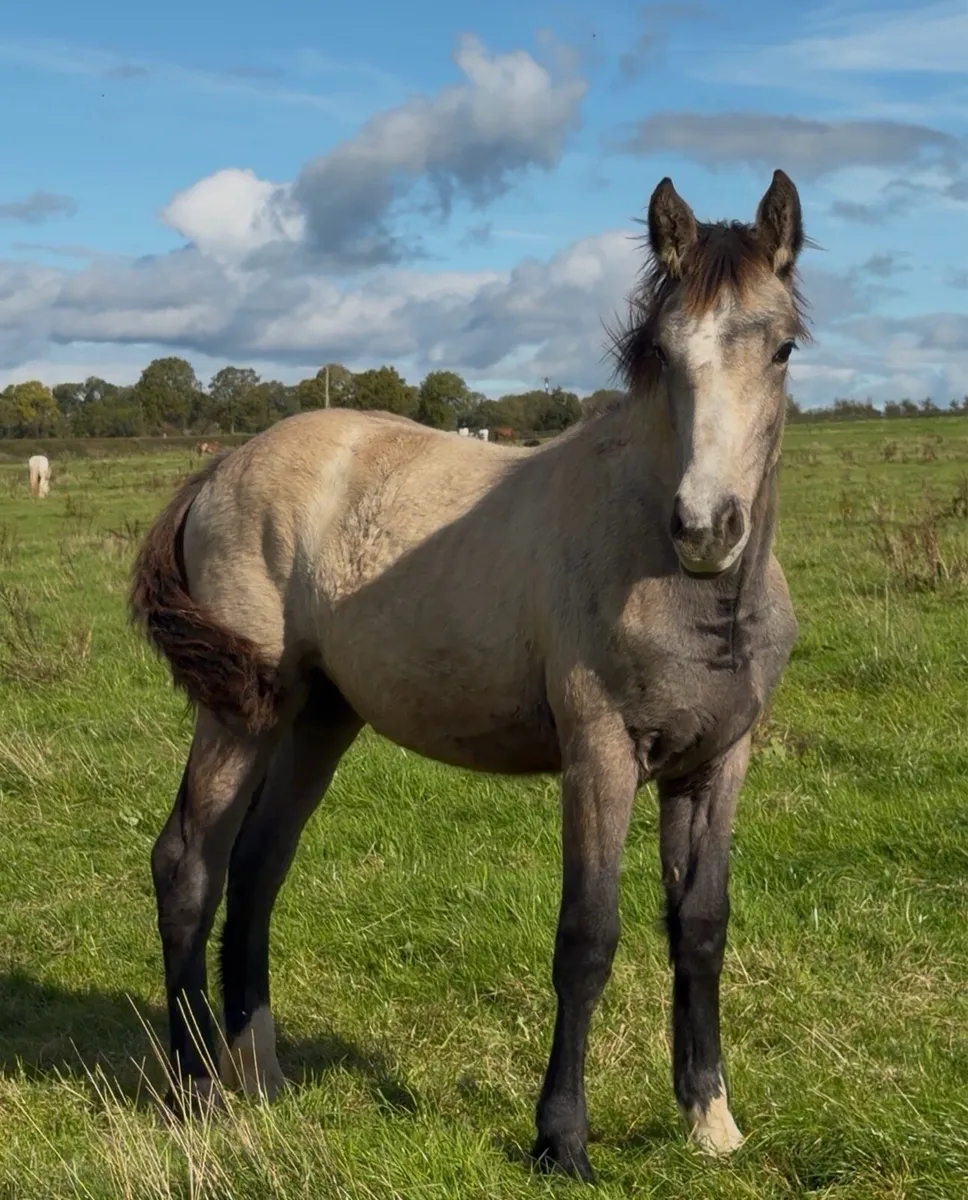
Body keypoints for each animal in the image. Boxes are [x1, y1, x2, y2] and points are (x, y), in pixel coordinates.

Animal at [130, 168, 808, 1182]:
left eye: (782, 348)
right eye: (662, 350)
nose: (706, 528)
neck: (683, 590)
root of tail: (221, 468)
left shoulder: (717, 762)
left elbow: (701, 926)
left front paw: (710, 1121)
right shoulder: (601, 754)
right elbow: (587, 938)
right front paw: (562, 1142)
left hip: (318, 718)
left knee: (257, 867)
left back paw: (263, 1078)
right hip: (244, 713)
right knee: (188, 866)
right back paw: (198, 1092)